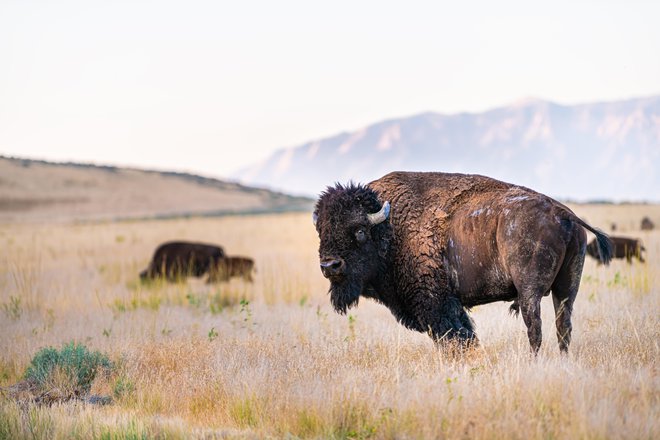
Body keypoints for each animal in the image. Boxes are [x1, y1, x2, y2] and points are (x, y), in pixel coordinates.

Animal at [314, 172, 612, 354]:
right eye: (322, 231)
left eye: (359, 231)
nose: (330, 266)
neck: (390, 226)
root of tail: (566, 214)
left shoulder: (438, 305)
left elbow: (457, 338)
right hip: (567, 288)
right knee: (564, 327)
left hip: (530, 291)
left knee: (535, 328)